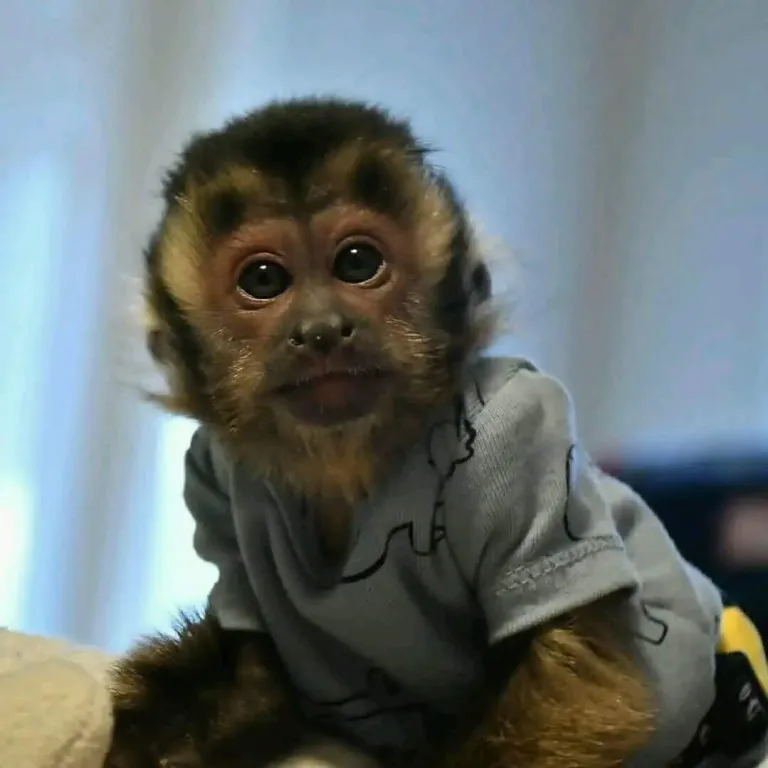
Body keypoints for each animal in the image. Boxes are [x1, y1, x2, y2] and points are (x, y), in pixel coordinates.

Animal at [106, 96, 768, 768]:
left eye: (358, 264)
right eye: (263, 280)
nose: (321, 329)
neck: (353, 464)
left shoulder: (523, 431)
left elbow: (582, 686)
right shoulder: (211, 472)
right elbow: (254, 669)